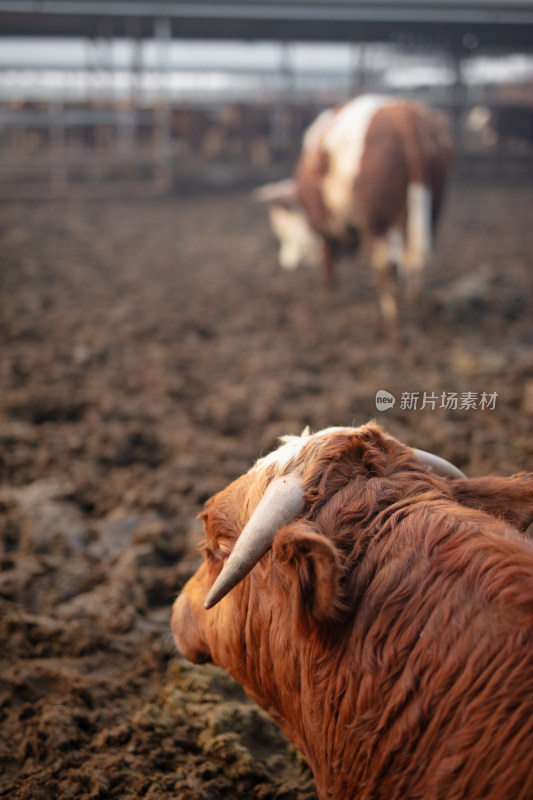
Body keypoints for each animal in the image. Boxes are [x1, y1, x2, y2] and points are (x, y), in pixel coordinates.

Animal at [255, 96, 454, 340]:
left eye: (281, 228)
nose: (286, 262)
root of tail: (404, 117)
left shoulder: (324, 225)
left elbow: (328, 258)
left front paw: (329, 292)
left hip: (379, 221)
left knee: (387, 264)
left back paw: (393, 323)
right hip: (430, 207)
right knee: (417, 261)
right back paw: (414, 320)